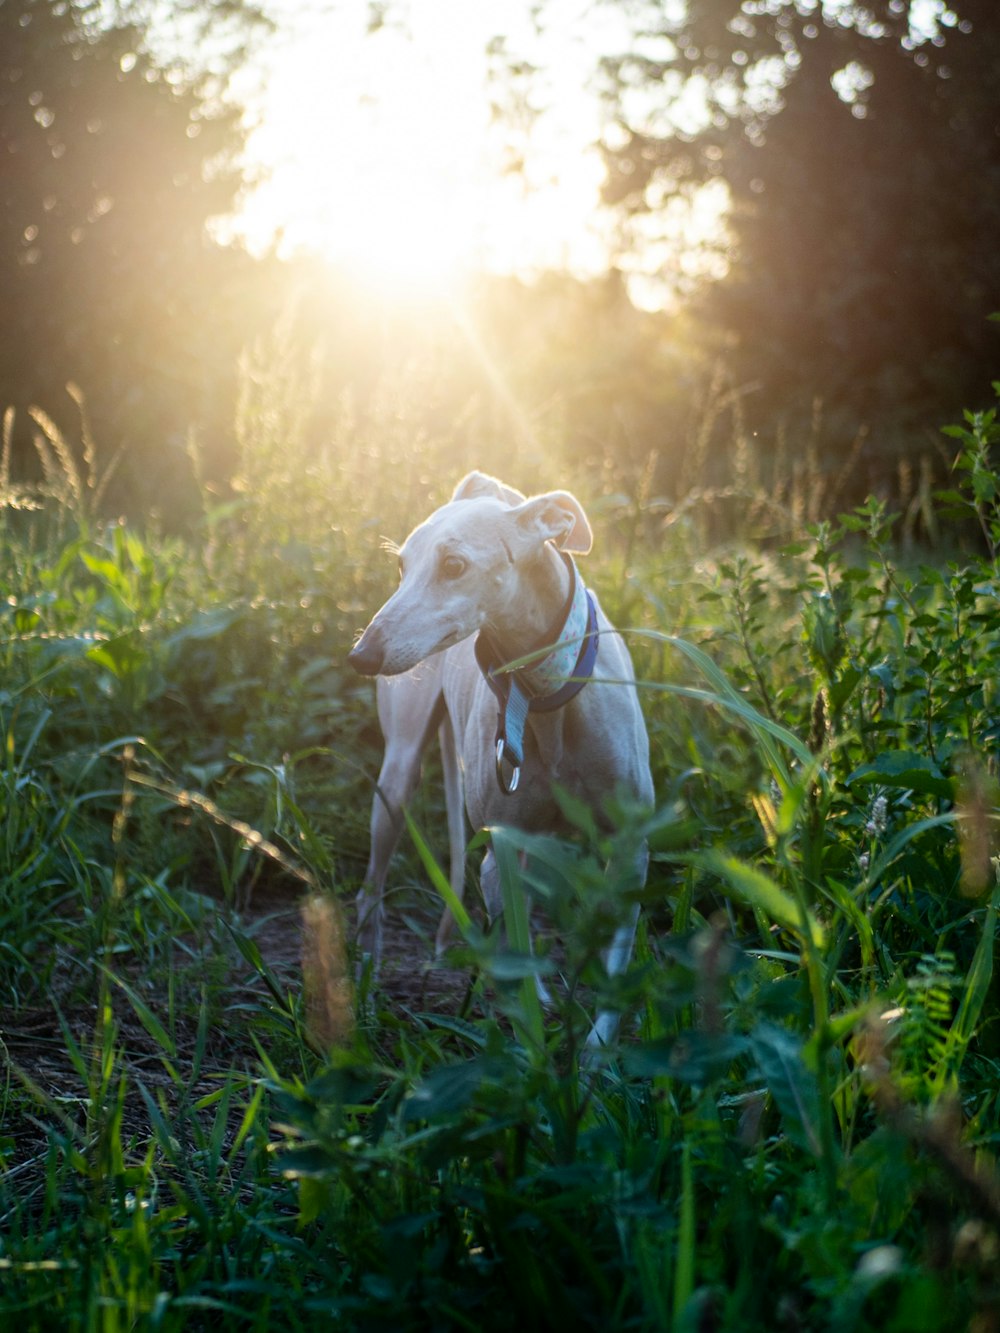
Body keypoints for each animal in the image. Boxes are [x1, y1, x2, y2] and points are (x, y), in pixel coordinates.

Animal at [349, 474, 653, 1045]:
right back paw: (364, 989)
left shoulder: (629, 848)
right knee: (371, 891)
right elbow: (517, 956)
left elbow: (615, 968)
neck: (544, 693)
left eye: (453, 566)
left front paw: (597, 1051)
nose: (361, 656)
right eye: (401, 566)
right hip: (396, 780)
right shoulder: (501, 856)